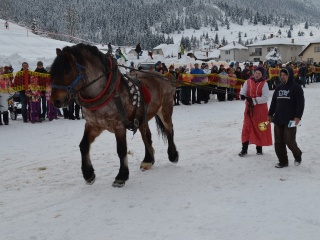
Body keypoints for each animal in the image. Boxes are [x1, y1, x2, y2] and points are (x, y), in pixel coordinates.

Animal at [51, 43, 179, 188]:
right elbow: (83, 145)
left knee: (169, 130)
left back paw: (173, 155)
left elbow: (121, 150)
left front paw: (121, 176)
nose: (56, 100)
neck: (105, 93)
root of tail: (163, 76)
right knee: (147, 136)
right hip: (142, 119)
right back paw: (148, 160)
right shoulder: (93, 125)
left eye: (67, 71)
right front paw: (88, 174)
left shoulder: (119, 126)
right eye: (53, 72)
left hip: (165, 110)